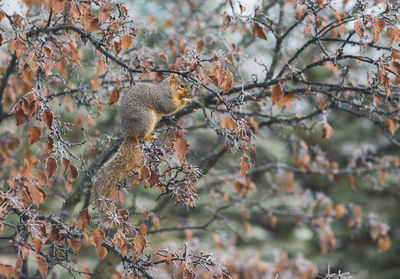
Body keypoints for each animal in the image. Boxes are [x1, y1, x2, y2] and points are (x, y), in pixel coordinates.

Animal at [94, 74, 193, 208]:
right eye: (182, 85)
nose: (190, 94)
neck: (169, 89)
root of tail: (130, 133)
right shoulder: (162, 98)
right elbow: (169, 107)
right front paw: (185, 101)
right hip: (146, 118)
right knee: (141, 136)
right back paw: (148, 137)